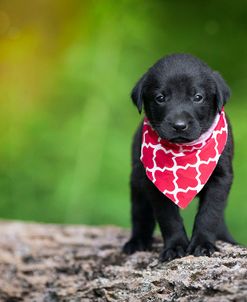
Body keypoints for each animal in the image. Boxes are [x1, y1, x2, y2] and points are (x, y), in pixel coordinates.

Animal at [123, 53, 235, 260]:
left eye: (198, 97)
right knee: (140, 215)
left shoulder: (221, 178)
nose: (179, 125)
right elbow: (169, 218)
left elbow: (210, 214)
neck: (184, 150)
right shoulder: (157, 185)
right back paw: (137, 241)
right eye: (160, 98)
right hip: (137, 183)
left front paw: (203, 244)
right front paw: (175, 247)